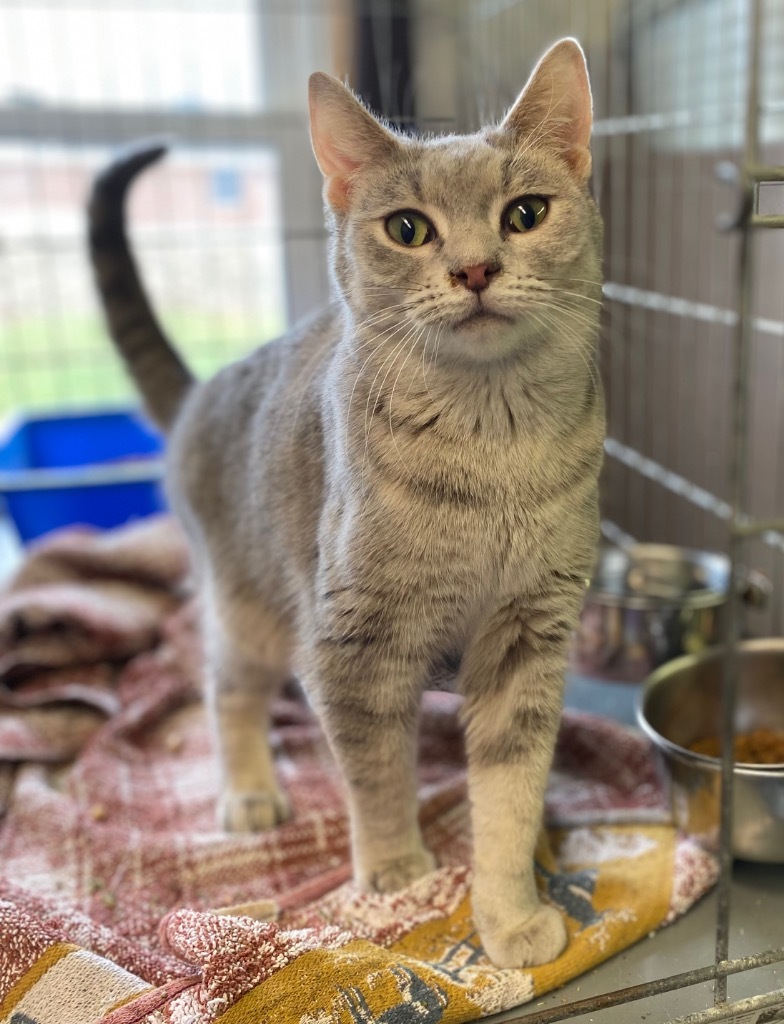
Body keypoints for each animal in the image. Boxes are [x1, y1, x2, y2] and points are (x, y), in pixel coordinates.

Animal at [90, 37, 605, 966]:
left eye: (525, 213)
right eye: (407, 228)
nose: (476, 269)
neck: (493, 450)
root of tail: (200, 393)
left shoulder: (529, 639)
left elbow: (508, 799)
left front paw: (509, 914)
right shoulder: (353, 646)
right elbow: (375, 773)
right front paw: (397, 867)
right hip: (249, 612)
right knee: (226, 692)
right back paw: (250, 790)